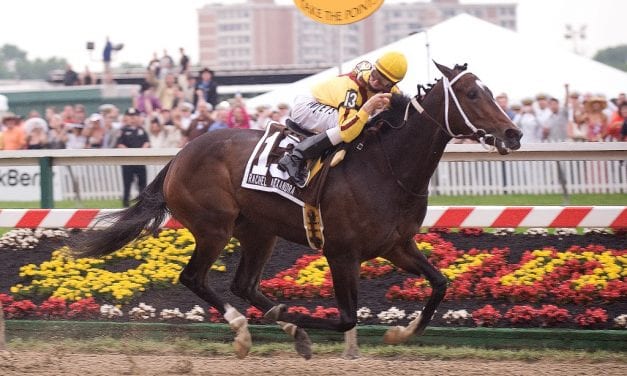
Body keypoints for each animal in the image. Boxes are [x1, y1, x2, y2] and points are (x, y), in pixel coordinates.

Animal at [68, 63, 524, 360]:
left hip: (259, 232)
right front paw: (296, 318)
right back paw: (245, 331)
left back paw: (283, 325)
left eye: (488, 91)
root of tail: (180, 154)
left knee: (244, 284)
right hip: (214, 228)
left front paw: (401, 333)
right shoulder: (341, 254)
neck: (386, 166)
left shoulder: (397, 246)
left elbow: (441, 283)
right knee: (194, 278)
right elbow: (345, 318)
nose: (514, 133)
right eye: (471, 94)